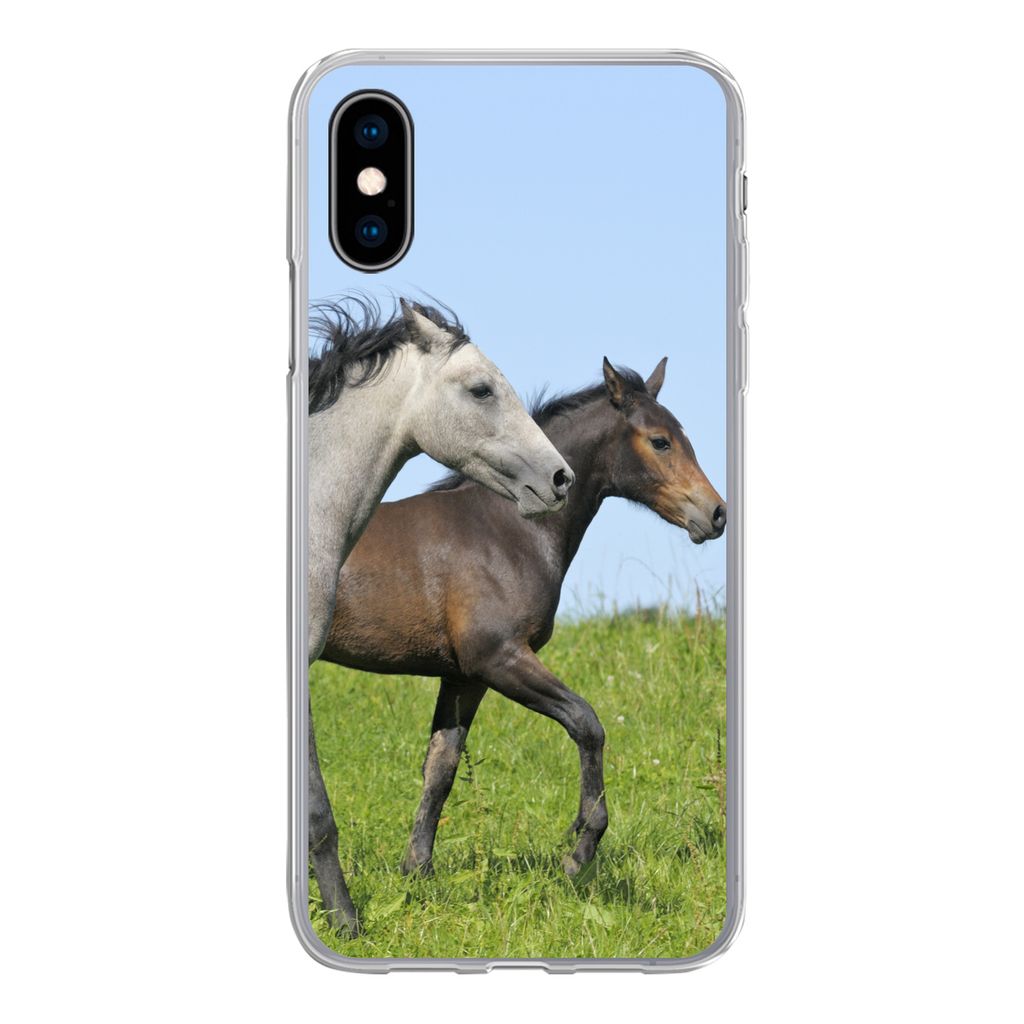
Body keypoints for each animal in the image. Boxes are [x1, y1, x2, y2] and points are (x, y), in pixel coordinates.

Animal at [316, 356, 725, 922]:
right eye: (660, 441)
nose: (716, 514)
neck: (506, 530)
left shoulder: (463, 677)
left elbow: (440, 768)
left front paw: (418, 874)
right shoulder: (500, 658)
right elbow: (587, 724)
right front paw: (580, 850)